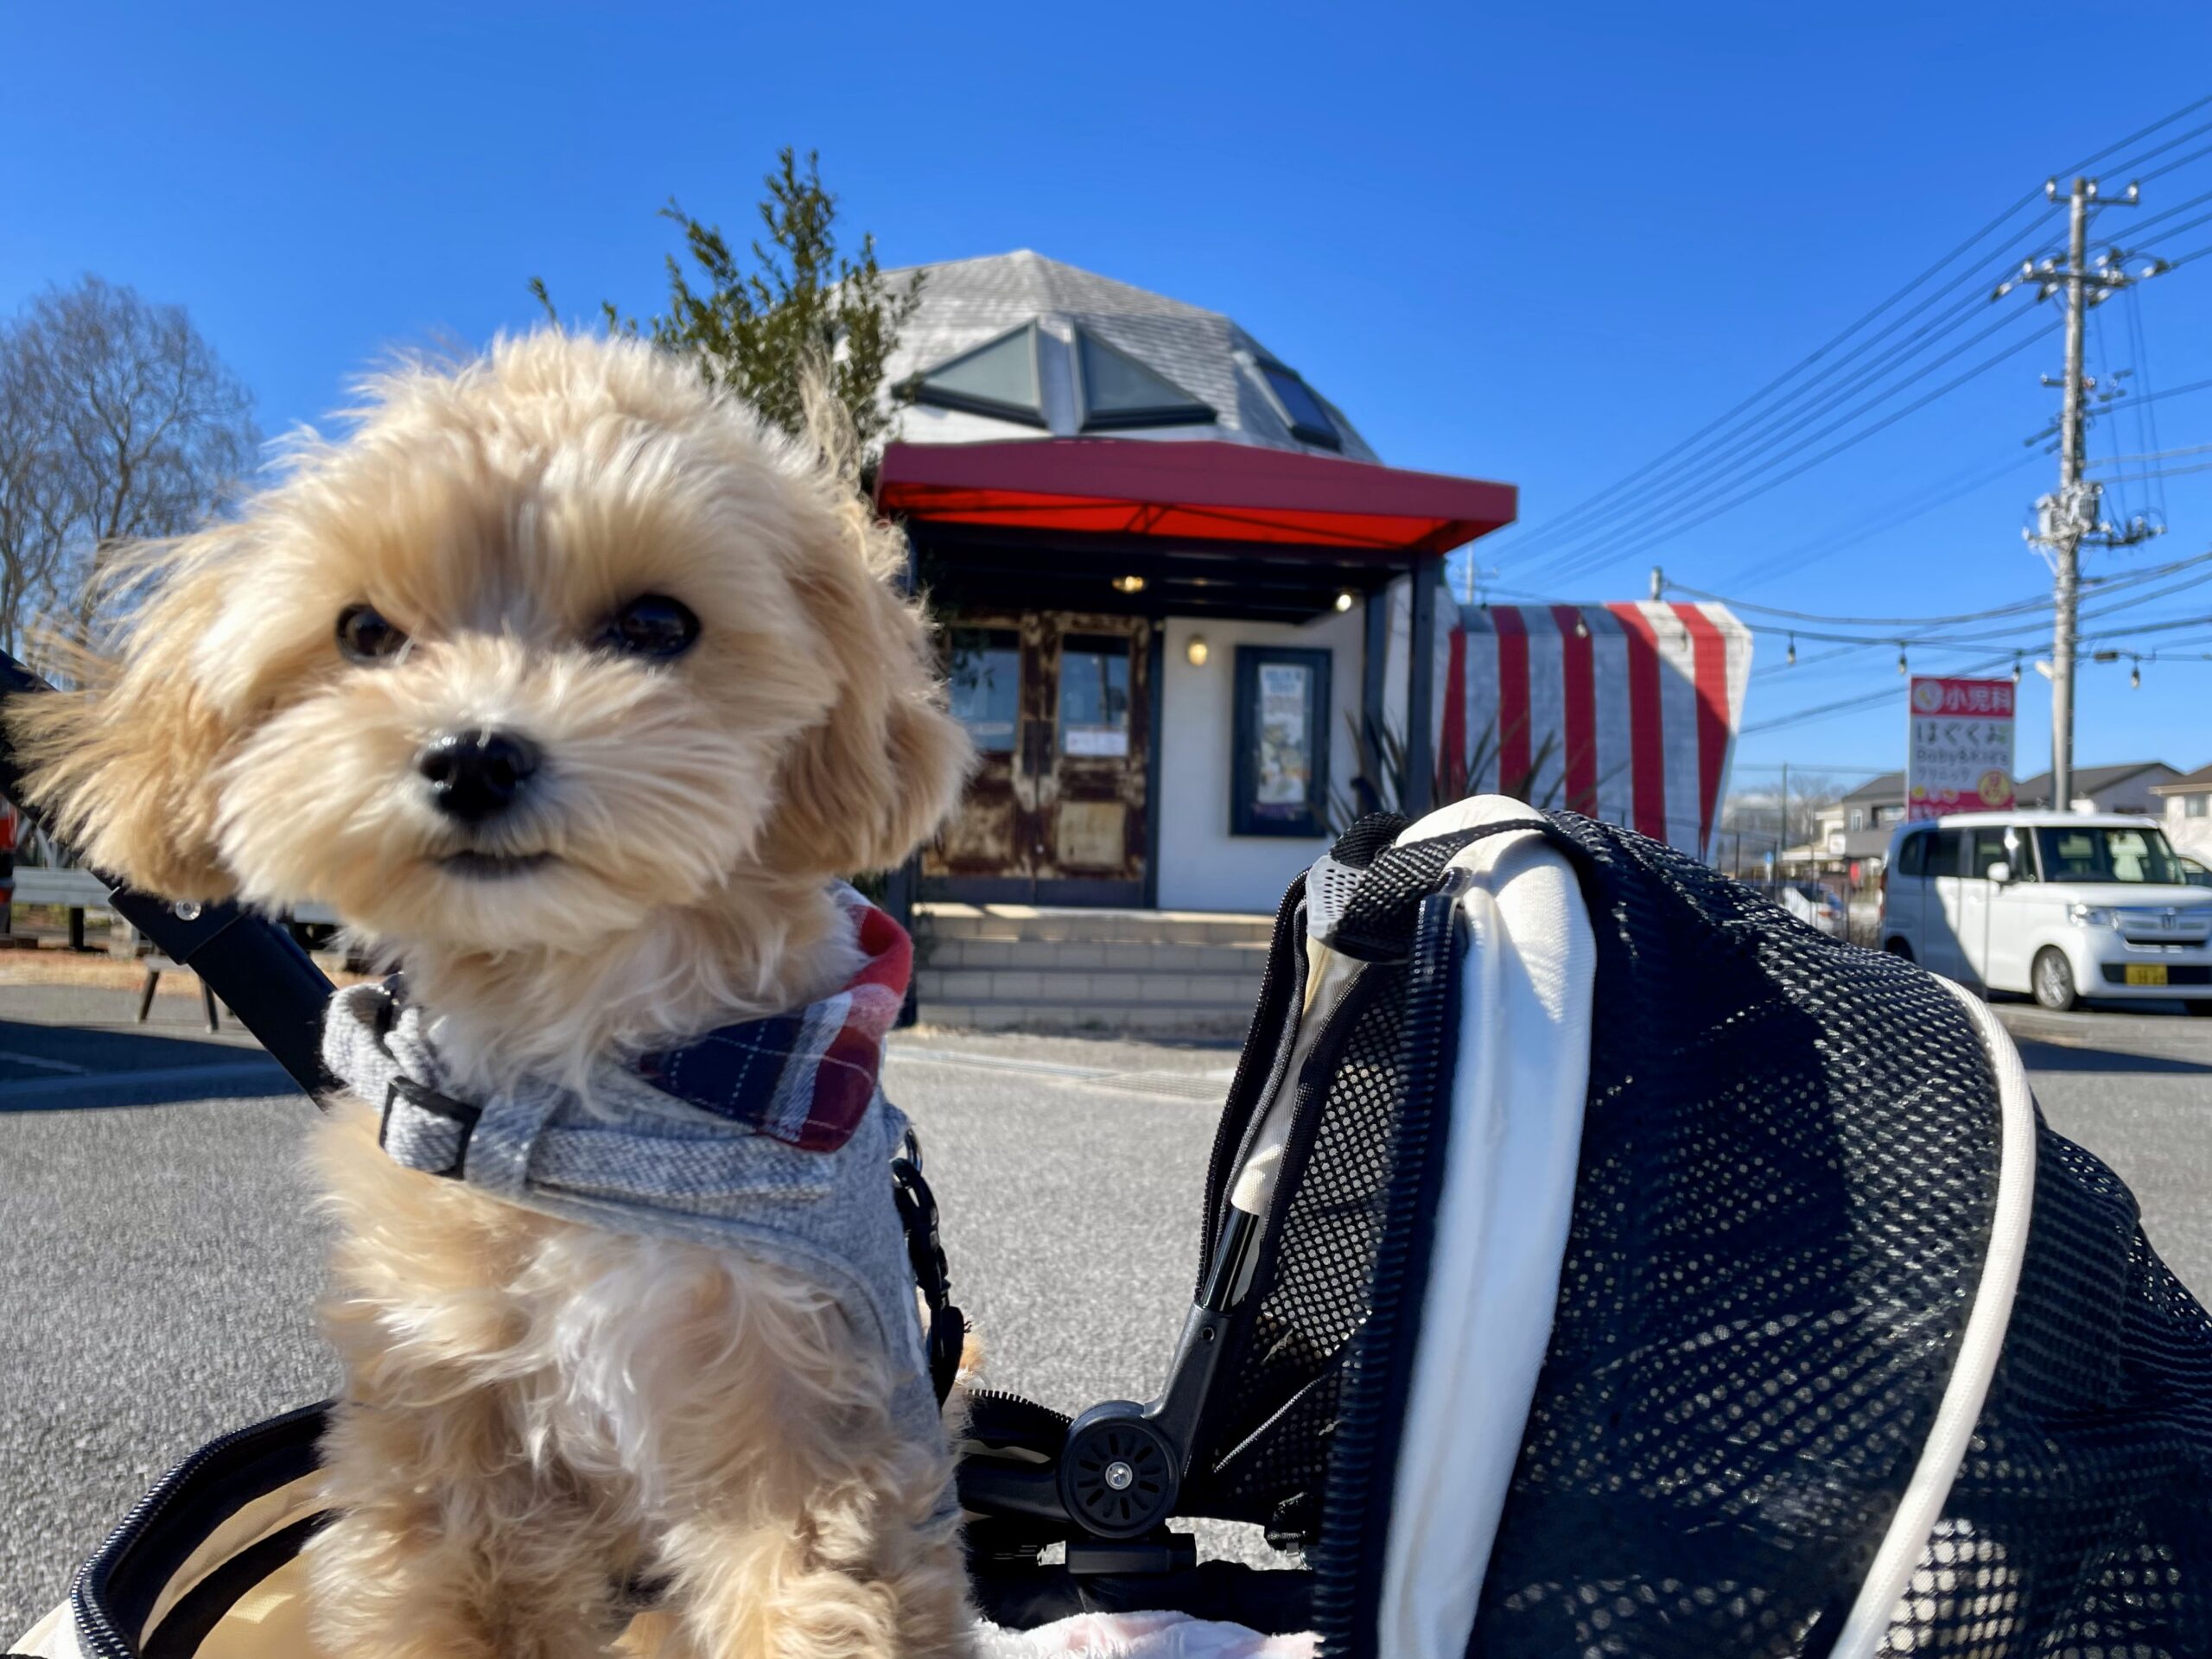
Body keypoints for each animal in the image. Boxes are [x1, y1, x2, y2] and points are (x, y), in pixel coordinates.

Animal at [10, 327, 977, 1659]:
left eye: (658, 621)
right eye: (365, 634)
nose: (472, 753)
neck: (570, 1074)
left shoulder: (796, 1399)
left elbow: (810, 1588)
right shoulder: (445, 1397)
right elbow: (448, 1589)